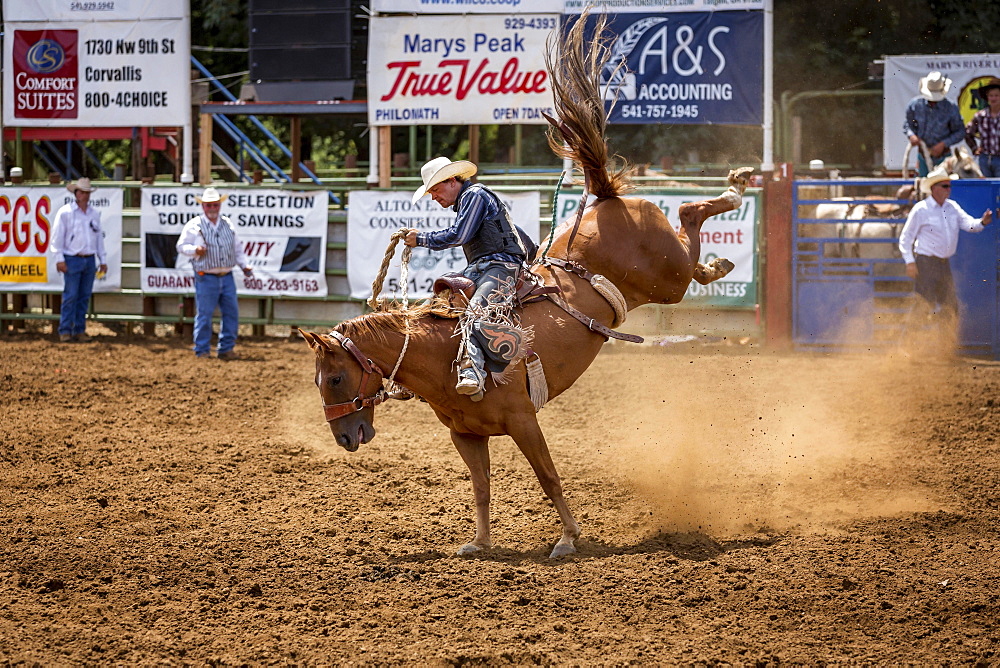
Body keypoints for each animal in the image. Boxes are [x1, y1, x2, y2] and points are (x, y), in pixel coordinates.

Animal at [296, 17, 752, 560]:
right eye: (319, 382)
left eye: (335, 379)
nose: (345, 438)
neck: (440, 353)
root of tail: (602, 195)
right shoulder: (466, 436)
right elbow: (481, 487)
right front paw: (479, 543)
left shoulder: (523, 420)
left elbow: (549, 477)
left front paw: (568, 540)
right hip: (663, 278)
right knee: (690, 232)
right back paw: (722, 247)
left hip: (666, 276)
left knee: (688, 213)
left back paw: (737, 190)